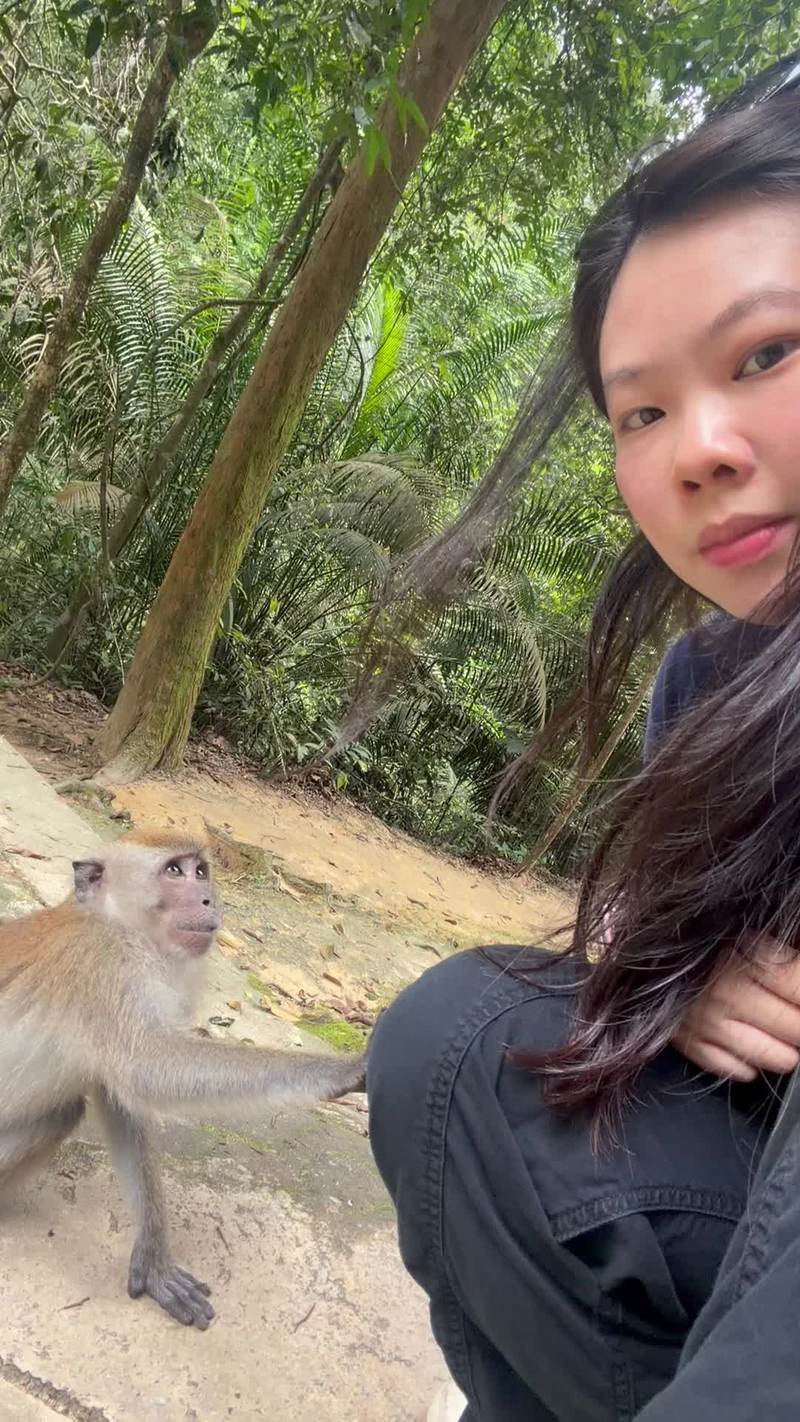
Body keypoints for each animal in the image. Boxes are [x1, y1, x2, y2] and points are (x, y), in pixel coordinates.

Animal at [0, 829, 365, 1329]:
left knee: (59, 1114)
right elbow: (146, 1067)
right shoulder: (106, 967)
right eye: (174, 871)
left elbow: (119, 1098)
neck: (121, 927)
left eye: (201, 871)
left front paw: (154, 1258)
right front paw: (343, 1070)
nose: (210, 898)